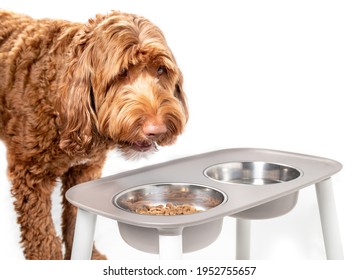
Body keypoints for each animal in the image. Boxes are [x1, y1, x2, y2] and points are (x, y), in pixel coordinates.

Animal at [0, 10, 190, 260]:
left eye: (161, 70)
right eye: (122, 72)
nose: (156, 129)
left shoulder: (85, 170)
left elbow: (77, 218)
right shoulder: (30, 176)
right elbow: (42, 235)